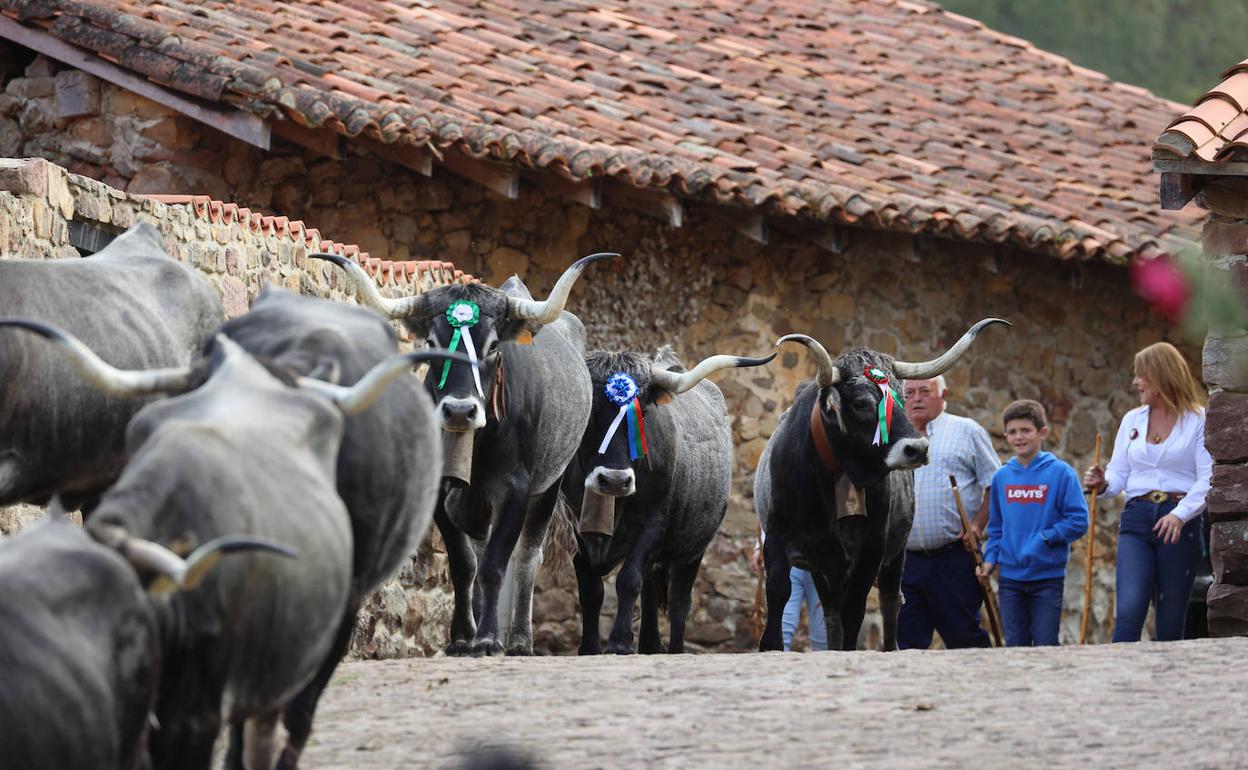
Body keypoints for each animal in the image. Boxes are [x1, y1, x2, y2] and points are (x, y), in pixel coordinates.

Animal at [312, 253, 614, 653]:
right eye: (431, 340)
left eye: (493, 347)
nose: (459, 411)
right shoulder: (443, 490)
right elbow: (464, 564)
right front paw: (461, 637)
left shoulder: (514, 489)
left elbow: (496, 563)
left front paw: (486, 638)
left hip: (550, 486)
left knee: (528, 556)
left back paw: (519, 639)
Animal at [564, 349, 773, 653]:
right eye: (589, 412)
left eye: (643, 413)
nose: (614, 480)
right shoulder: (575, 528)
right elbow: (591, 591)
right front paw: (590, 648)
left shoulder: (653, 523)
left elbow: (628, 580)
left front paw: (619, 642)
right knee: (650, 593)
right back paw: (650, 645)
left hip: (693, 550)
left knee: (678, 602)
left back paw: (673, 648)